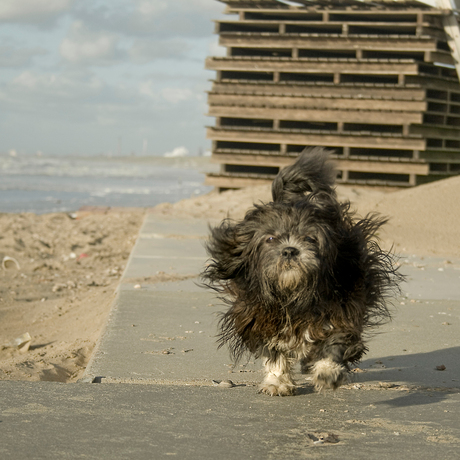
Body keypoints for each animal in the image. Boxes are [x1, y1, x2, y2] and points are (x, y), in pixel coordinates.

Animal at [203, 147, 400, 396]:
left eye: (310, 238)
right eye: (270, 239)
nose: (290, 250)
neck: (294, 295)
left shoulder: (342, 310)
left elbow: (334, 342)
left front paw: (327, 371)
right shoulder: (258, 317)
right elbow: (274, 351)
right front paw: (277, 381)